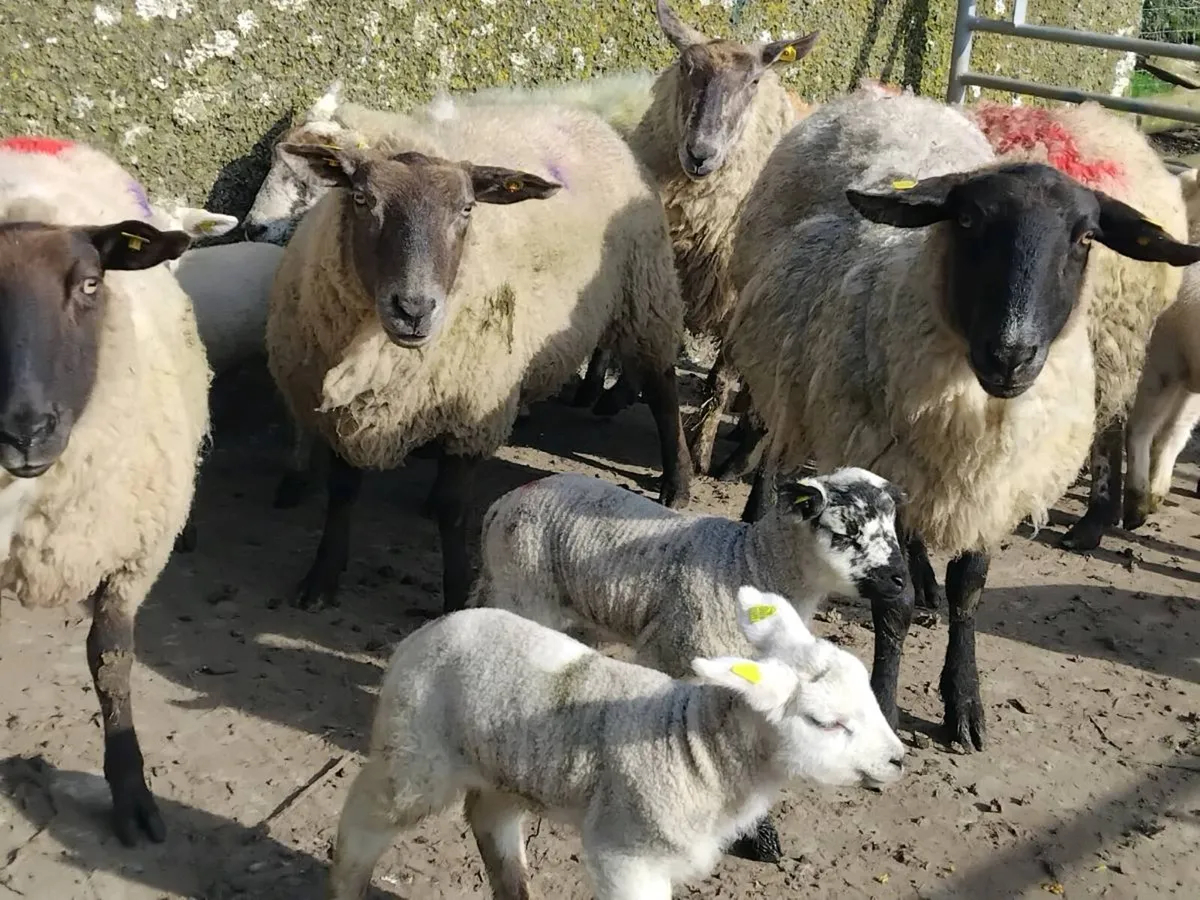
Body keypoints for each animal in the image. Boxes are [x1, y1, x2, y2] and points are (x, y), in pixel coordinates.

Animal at [265, 105, 692, 615]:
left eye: (467, 209)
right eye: (363, 200)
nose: (414, 308)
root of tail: (585, 116)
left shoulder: (473, 411)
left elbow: (455, 511)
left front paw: (455, 593)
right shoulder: (342, 412)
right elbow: (343, 492)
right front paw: (322, 577)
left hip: (644, 294)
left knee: (663, 389)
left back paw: (677, 482)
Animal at [327, 586, 907, 900]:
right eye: (826, 723)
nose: (898, 760)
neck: (699, 752)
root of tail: (430, 631)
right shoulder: (626, 853)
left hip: (510, 765)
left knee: (489, 819)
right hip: (414, 752)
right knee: (365, 818)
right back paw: (346, 881)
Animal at [470, 466, 908, 864]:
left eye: (893, 528)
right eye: (846, 533)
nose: (900, 580)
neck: (748, 562)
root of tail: (502, 502)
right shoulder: (671, 652)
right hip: (521, 591)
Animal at [723, 87, 1200, 755]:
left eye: (1085, 238)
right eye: (969, 222)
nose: (1012, 353)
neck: (975, 412)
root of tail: (890, 97)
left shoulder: (992, 484)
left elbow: (970, 587)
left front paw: (964, 703)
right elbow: (891, 604)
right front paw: (886, 703)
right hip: (787, 359)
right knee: (779, 437)